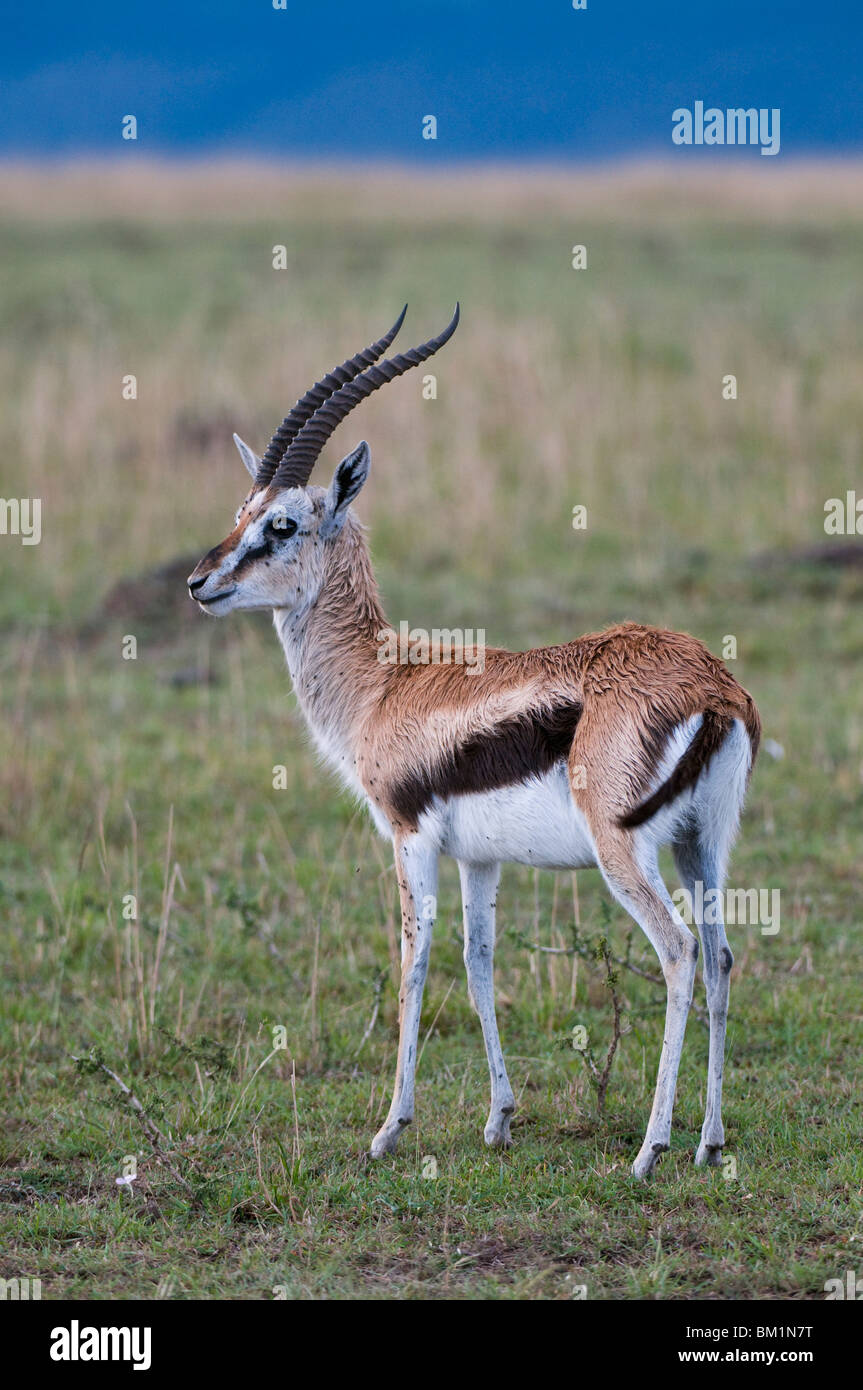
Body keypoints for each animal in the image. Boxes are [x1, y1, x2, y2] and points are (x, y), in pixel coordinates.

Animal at [188, 307, 760, 1178]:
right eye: (239, 514)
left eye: (280, 524)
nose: (199, 582)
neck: (382, 681)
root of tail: (711, 686)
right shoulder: (478, 858)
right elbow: (478, 962)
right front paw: (498, 1119)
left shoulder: (409, 836)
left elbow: (414, 964)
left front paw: (389, 1129)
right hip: (703, 842)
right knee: (722, 955)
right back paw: (708, 1140)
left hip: (624, 851)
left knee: (678, 952)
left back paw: (649, 1149)